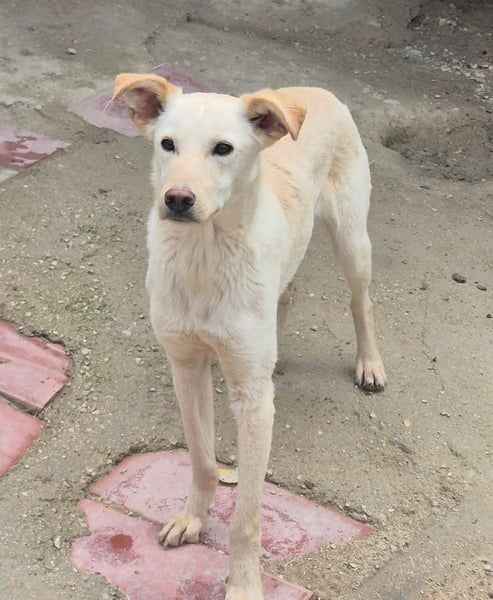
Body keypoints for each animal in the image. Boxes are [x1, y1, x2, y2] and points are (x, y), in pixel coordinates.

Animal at [112, 72, 386, 599]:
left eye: (223, 149)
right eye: (167, 144)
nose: (177, 199)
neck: (203, 256)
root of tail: (315, 90)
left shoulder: (254, 404)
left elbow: (249, 514)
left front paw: (242, 584)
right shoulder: (187, 367)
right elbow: (202, 459)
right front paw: (193, 519)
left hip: (352, 238)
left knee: (361, 301)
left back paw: (370, 364)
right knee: (285, 293)